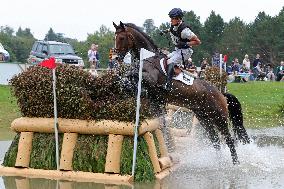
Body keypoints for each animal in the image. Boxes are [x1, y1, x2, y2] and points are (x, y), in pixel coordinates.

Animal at [113, 21, 251, 164]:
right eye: (114, 38)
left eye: (121, 38)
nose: (116, 57)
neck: (147, 57)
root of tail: (221, 94)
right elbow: (128, 76)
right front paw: (121, 83)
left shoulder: (150, 78)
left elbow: (133, 73)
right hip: (204, 117)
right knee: (215, 140)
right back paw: (219, 162)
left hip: (219, 117)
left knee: (229, 139)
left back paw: (235, 163)